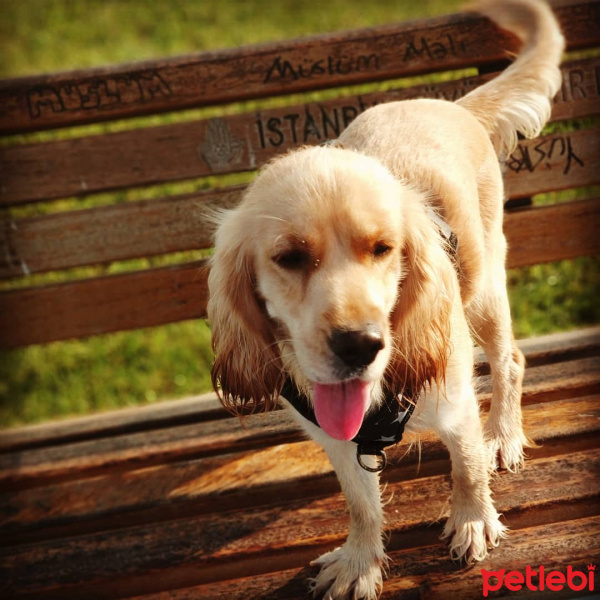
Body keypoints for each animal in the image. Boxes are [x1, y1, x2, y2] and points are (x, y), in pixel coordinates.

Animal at [205, 2, 564, 596]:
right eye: (290, 257)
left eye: (382, 249)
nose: (359, 345)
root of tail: (451, 105)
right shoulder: (336, 440)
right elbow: (361, 504)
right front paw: (360, 561)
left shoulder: (456, 405)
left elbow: (466, 468)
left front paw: (473, 522)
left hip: (485, 288)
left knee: (510, 359)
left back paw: (504, 434)